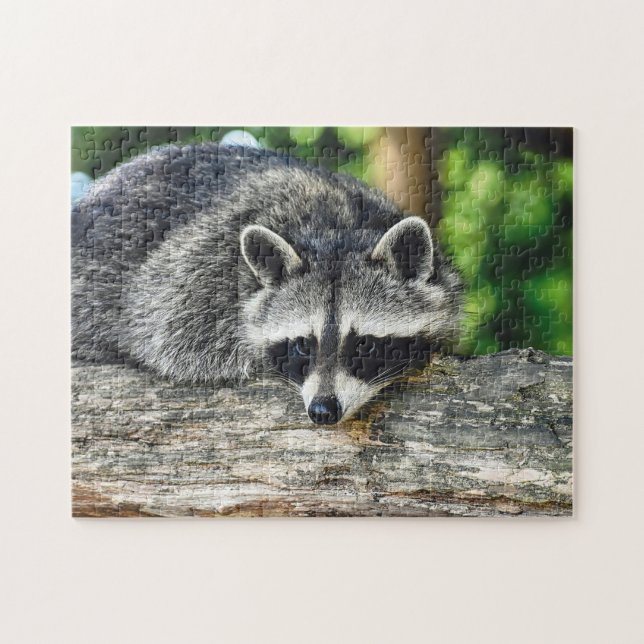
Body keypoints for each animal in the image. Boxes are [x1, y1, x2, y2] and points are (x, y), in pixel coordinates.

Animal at [72, 143, 462, 424]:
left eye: (364, 345)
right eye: (303, 345)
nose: (322, 411)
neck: (339, 228)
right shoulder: (196, 277)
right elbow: (166, 334)